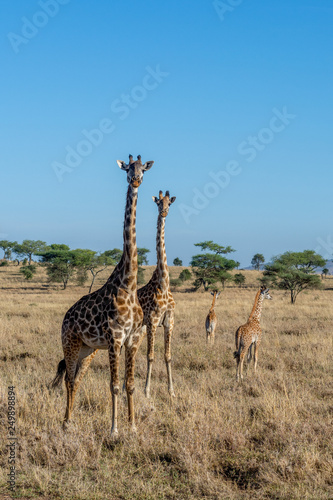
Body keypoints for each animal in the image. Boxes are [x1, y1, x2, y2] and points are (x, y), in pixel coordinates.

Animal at [50, 154, 154, 436]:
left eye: (144, 169)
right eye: (128, 168)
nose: (136, 180)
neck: (128, 283)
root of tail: (65, 318)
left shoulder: (133, 339)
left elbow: (130, 384)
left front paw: (132, 427)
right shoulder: (115, 338)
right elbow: (114, 385)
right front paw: (114, 430)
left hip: (88, 350)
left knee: (75, 379)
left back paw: (70, 420)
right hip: (70, 343)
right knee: (69, 379)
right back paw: (65, 423)